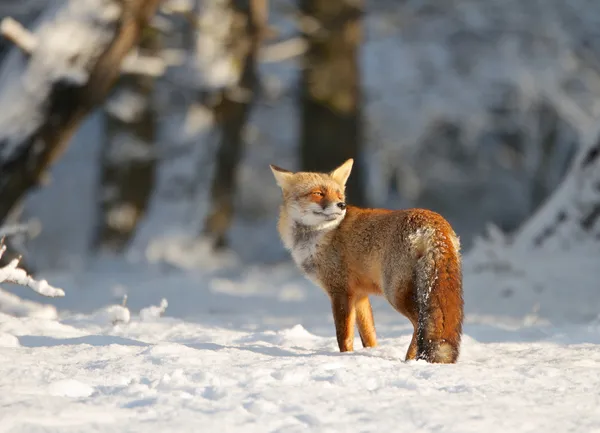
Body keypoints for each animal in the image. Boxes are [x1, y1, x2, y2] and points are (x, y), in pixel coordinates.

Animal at [270, 158, 464, 362]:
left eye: (338, 194)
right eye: (318, 193)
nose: (341, 205)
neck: (323, 234)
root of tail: (434, 222)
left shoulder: (340, 291)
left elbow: (344, 337)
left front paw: (345, 357)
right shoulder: (360, 295)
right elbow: (369, 336)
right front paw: (370, 353)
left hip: (394, 293)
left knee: (419, 322)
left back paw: (410, 360)